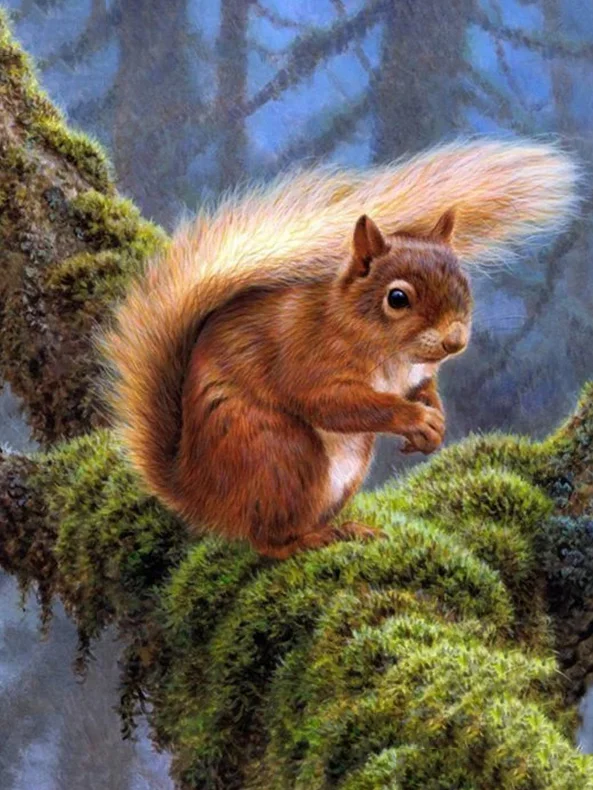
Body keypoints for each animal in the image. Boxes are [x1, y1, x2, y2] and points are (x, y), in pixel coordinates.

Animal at [102, 139, 578, 559]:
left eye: (463, 282)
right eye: (397, 298)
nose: (454, 340)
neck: (390, 353)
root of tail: (198, 492)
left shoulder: (415, 375)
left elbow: (425, 390)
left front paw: (436, 423)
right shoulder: (308, 358)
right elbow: (334, 403)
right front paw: (413, 418)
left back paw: (346, 528)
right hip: (279, 452)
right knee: (266, 540)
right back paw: (311, 540)